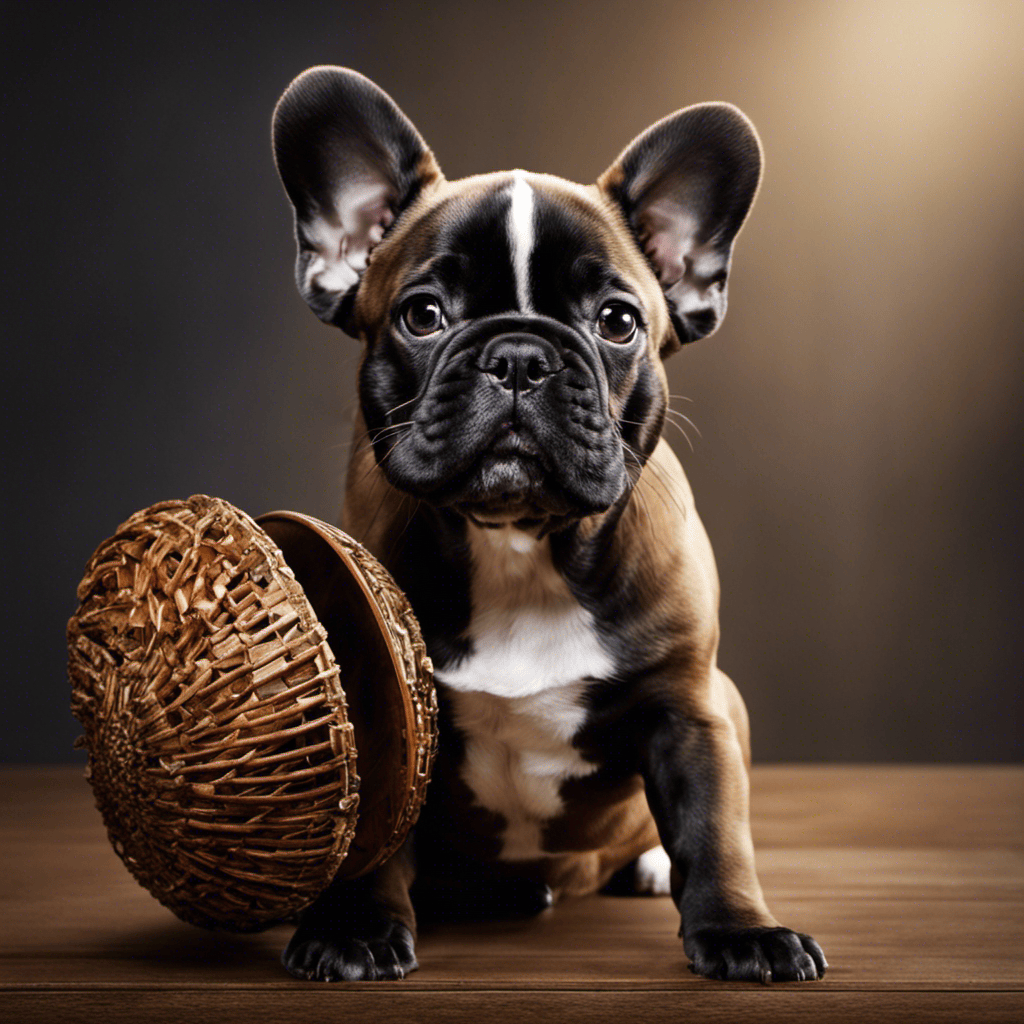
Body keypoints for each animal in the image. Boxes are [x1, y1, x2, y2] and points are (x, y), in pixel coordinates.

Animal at [270, 64, 823, 983]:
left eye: (617, 322)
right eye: (423, 315)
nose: (521, 357)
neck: (520, 542)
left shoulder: (690, 709)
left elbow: (715, 828)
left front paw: (742, 930)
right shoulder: (384, 702)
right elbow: (376, 834)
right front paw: (355, 927)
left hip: (728, 703)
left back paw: (645, 866)